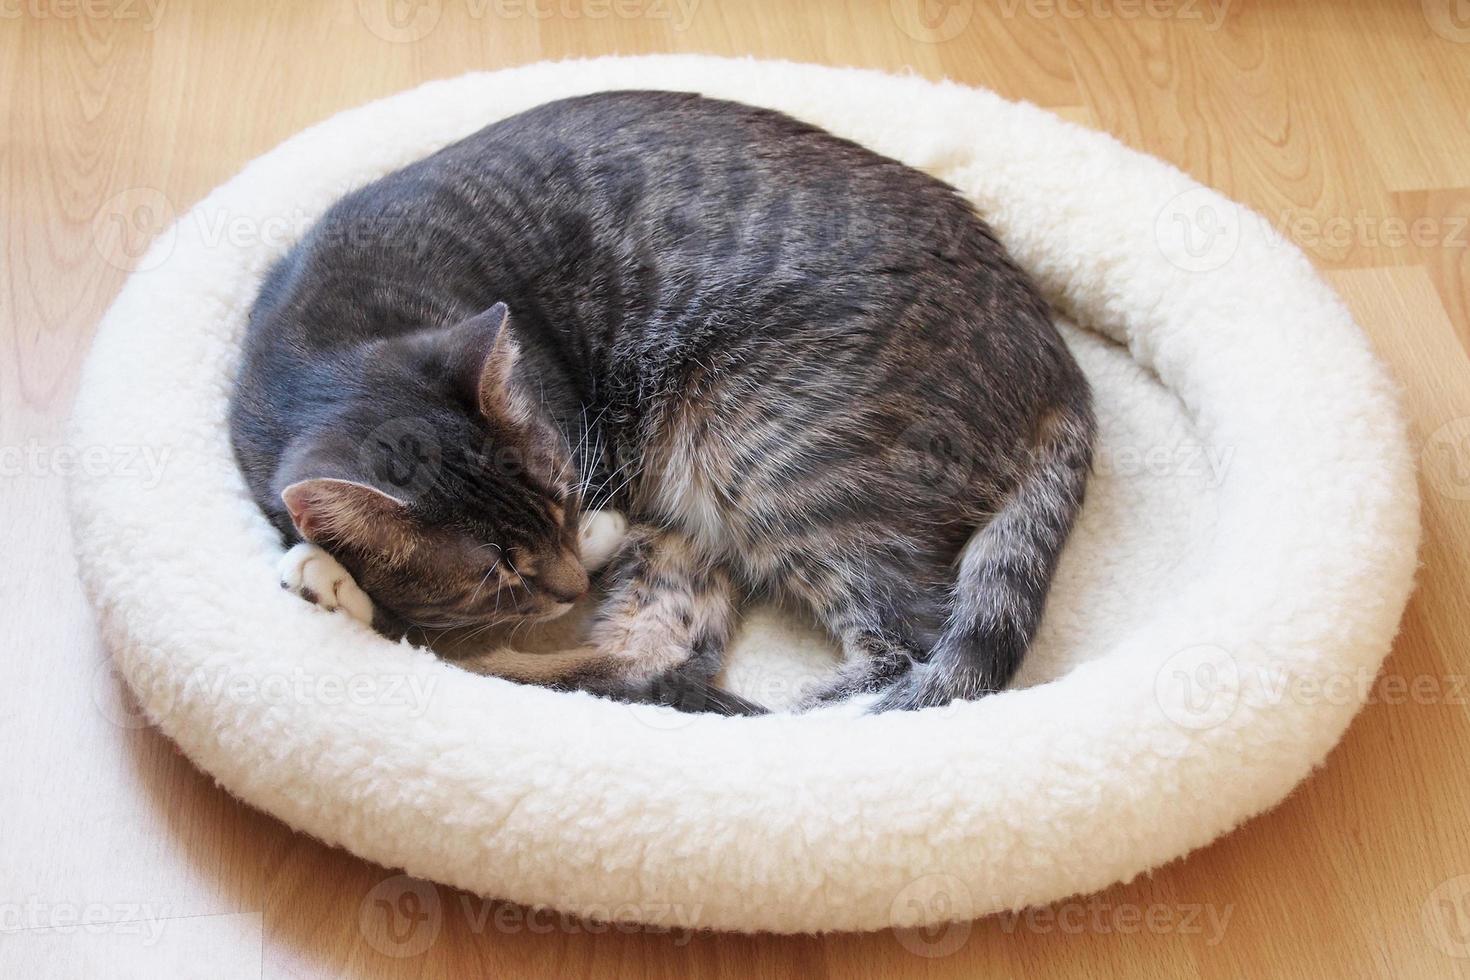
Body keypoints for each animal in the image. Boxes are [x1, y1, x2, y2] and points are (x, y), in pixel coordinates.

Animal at [229, 91, 1099, 717]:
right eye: (495, 569)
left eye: (562, 493)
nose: (570, 588)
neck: (332, 340)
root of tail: (1060, 368)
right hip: (711, 511)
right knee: (656, 658)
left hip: (770, 455)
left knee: (908, 651)